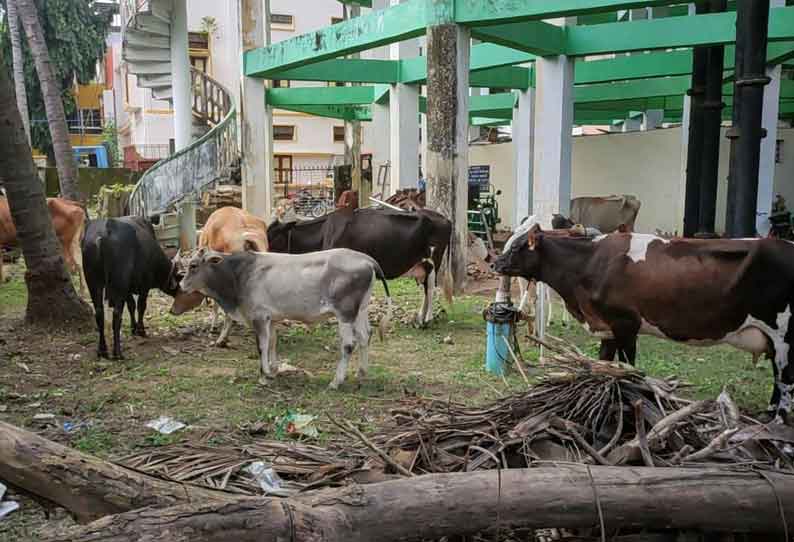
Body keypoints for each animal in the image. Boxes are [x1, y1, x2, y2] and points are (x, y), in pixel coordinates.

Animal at [82, 217, 178, 362]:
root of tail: (104, 232)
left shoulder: (127, 290)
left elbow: (131, 306)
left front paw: (134, 328)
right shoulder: (144, 286)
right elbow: (141, 306)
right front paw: (141, 330)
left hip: (94, 282)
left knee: (99, 313)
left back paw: (102, 350)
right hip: (118, 283)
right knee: (116, 315)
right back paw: (117, 352)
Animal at [178, 249, 392, 388]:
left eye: (193, 265)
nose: (181, 285)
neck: (239, 274)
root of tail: (367, 259)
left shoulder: (258, 317)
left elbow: (262, 346)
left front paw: (263, 375)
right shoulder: (271, 319)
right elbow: (272, 342)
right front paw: (273, 370)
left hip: (345, 314)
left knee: (348, 344)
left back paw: (336, 381)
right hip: (360, 310)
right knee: (365, 336)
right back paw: (362, 373)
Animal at [268, 208, 448, 328]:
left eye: (273, 237)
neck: (325, 232)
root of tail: (443, 218)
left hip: (433, 261)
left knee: (431, 289)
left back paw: (426, 320)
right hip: (421, 265)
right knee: (425, 289)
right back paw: (419, 318)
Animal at [496, 225, 792, 424]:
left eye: (516, 247)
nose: (494, 261)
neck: (588, 264)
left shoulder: (626, 323)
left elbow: (629, 367)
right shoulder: (608, 328)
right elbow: (605, 364)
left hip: (784, 336)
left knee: (786, 380)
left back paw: (778, 421)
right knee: (778, 379)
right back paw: (768, 414)